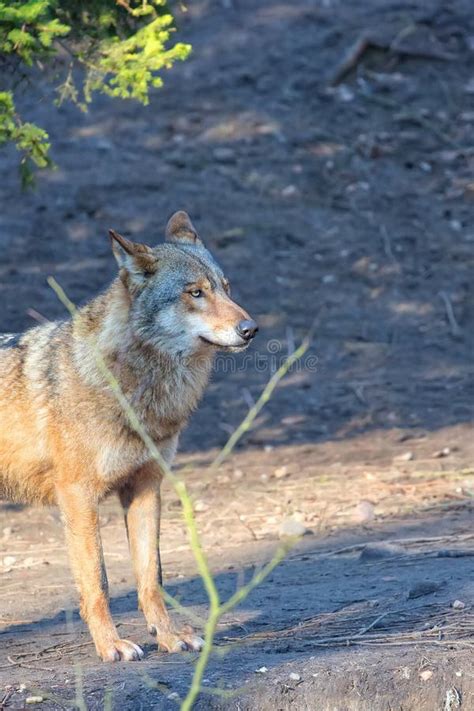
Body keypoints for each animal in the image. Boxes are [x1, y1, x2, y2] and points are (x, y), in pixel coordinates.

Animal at [0, 211, 258, 660]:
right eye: (195, 293)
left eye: (226, 288)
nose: (251, 328)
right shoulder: (78, 497)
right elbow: (98, 583)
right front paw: (111, 645)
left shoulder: (146, 487)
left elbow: (150, 577)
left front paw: (169, 636)